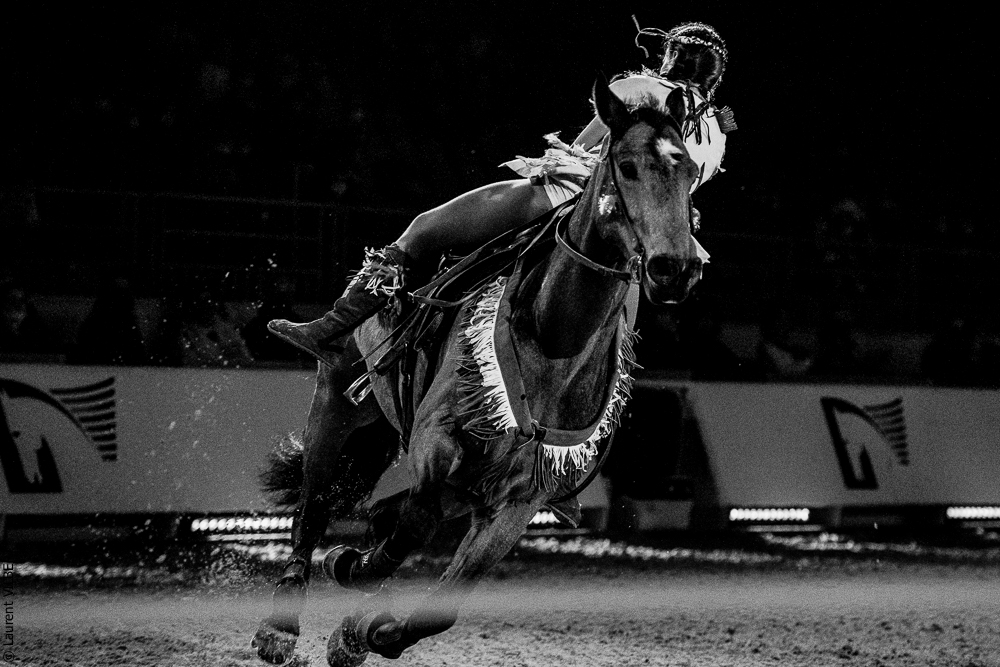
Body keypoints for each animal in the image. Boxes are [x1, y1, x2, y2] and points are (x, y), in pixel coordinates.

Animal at [251, 75, 703, 665]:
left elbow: (441, 603)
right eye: (627, 166)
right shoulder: (438, 440)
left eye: (689, 170)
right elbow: (411, 525)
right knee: (315, 502)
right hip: (337, 401)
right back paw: (281, 625)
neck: (552, 341)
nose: (677, 268)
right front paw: (350, 569)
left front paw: (364, 630)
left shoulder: (518, 501)